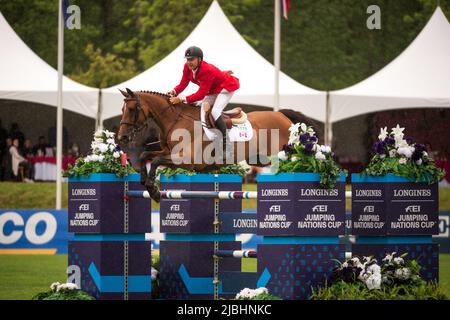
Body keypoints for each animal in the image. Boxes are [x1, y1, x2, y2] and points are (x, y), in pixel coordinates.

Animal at [117, 89, 306, 201]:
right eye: (122, 109)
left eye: (132, 109)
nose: (122, 137)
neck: (175, 121)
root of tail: (282, 115)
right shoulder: (166, 151)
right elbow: (145, 156)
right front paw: (144, 181)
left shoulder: (187, 160)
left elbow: (155, 161)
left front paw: (154, 191)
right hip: (259, 159)